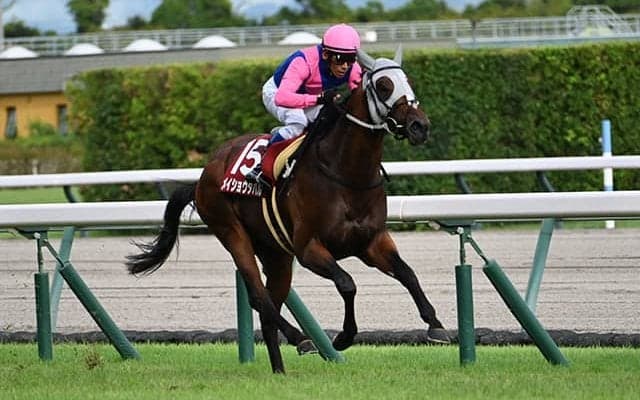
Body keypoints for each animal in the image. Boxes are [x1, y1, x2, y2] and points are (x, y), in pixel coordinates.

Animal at [126, 47, 450, 374]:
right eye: (384, 86)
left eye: (408, 82)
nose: (420, 126)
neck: (346, 174)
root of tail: (203, 176)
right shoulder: (309, 249)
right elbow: (347, 283)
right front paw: (344, 337)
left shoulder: (372, 242)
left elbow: (407, 273)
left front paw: (436, 325)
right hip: (232, 232)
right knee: (259, 298)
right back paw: (301, 338)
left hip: (277, 255)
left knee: (269, 304)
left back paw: (280, 370)